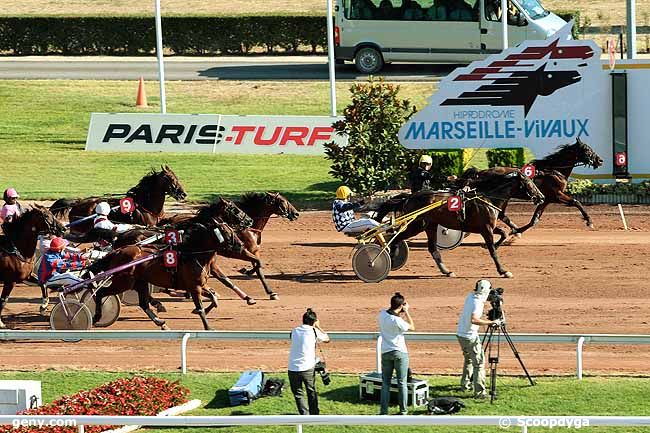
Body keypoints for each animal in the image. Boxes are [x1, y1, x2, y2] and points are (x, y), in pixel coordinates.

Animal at [50, 165, 186, 233]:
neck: (146, 204)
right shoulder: (148, 224)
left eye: (177, 177)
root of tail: (78, 202)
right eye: (170, 178)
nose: (183, 194)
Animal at [90, 221, 239, 330]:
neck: (192, 254)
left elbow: (213, 297)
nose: (240, 245)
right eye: (226, 232)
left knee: (143, 304)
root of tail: (117, 252)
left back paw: (161, 322)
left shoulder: (198, 285)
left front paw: (199, 311)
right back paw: (96, 317)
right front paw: (208, 327)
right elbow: (201, 306)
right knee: (101, 292)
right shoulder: (194, 286)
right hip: (123, 282)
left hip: (139, 282)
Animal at [372, 171, 544, 276]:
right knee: (397, 237)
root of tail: (409, 197)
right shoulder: (486, 229)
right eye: (530, 183)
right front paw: (503, 271)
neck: (488, 198)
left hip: (430, 225)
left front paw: (499, 243)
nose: (541, 197)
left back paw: (447, 271)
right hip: (416, 225)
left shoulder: (486, 227)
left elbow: (503, 233)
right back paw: (389, 254)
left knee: (432, 248)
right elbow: (493, 251)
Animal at [458, 137, 600, 235]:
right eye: (587, 150)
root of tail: (481, 172)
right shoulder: (556, 195)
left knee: (502, 214)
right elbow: (576, 202)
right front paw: (589, 221)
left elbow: (535, 219)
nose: (600, 160)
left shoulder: (546, 199)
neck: (553, 170)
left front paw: (517, 231)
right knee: (499, 213)